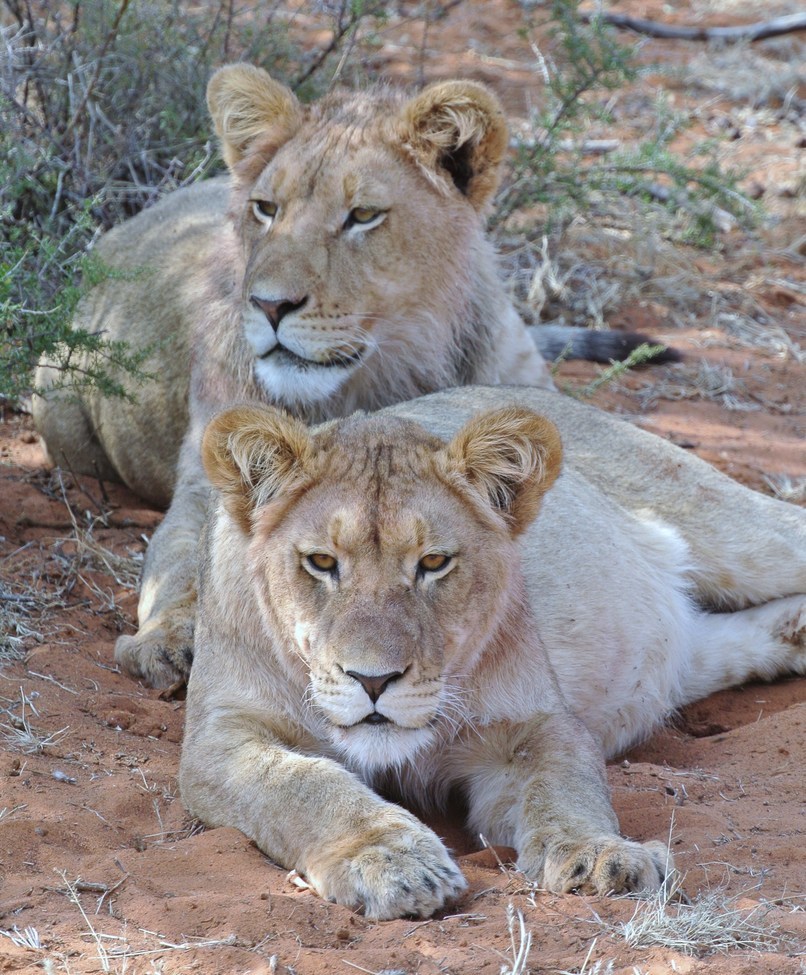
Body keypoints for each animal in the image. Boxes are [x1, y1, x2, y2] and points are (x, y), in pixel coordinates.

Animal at [33, 64, 674, 689]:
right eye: (266, 209)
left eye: (362, 216)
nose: (267, 305)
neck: (384, 372)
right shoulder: (210, 481)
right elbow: (182, 563)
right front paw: (167, 642)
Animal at [179, 384, 806, 920]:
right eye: (322, 562)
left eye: (434, 563)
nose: (374, 680)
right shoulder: (219, 739)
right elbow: (302, 786)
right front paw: (390, 862)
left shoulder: (534, 723)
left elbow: (564, 786)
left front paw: (600, 855)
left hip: (734, 530)